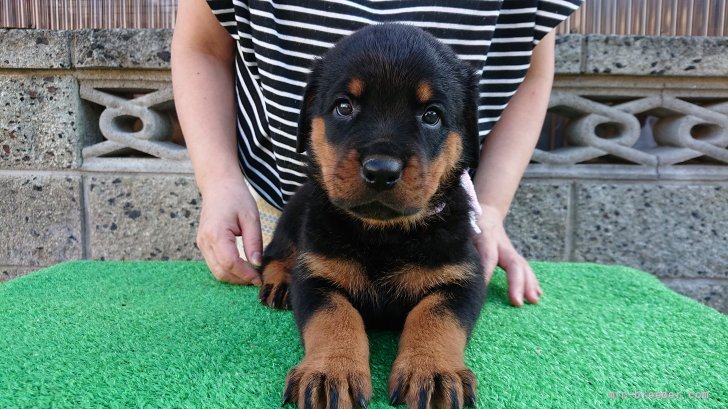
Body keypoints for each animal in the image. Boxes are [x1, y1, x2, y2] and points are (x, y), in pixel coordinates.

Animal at [258, 23, 486, 408]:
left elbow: (435, 316)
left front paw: (433, 371)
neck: (384, 234)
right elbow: (334, 317)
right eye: (344, 107)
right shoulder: (316, 274)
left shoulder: (463, 277)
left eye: (431, 115)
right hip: (291, 220)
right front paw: (330, 372)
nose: (381, 171)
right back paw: (278, 282)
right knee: (275, 254)